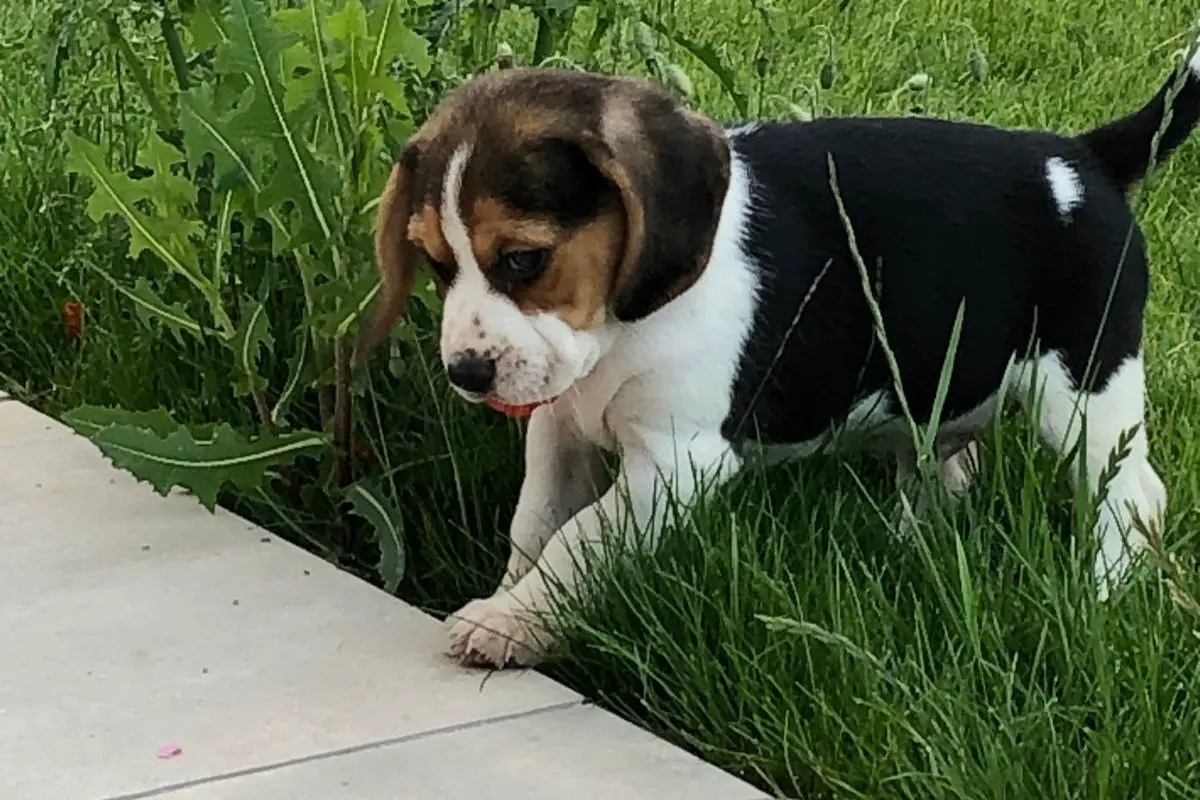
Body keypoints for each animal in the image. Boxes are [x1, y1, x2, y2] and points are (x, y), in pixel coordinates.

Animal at [357, 34, 1200, 666]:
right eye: (435, 263)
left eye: (524, 260)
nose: (467, 373)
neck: (622, 328)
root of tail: (1083, 161)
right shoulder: (559, 429)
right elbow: (534, 526)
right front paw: (518, 604)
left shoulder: (677, 462)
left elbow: (577, 540)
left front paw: (510, 623)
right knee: (948, 466)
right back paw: (909, 548)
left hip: (1086, 387)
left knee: (1132, 495)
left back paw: (1100, 593)